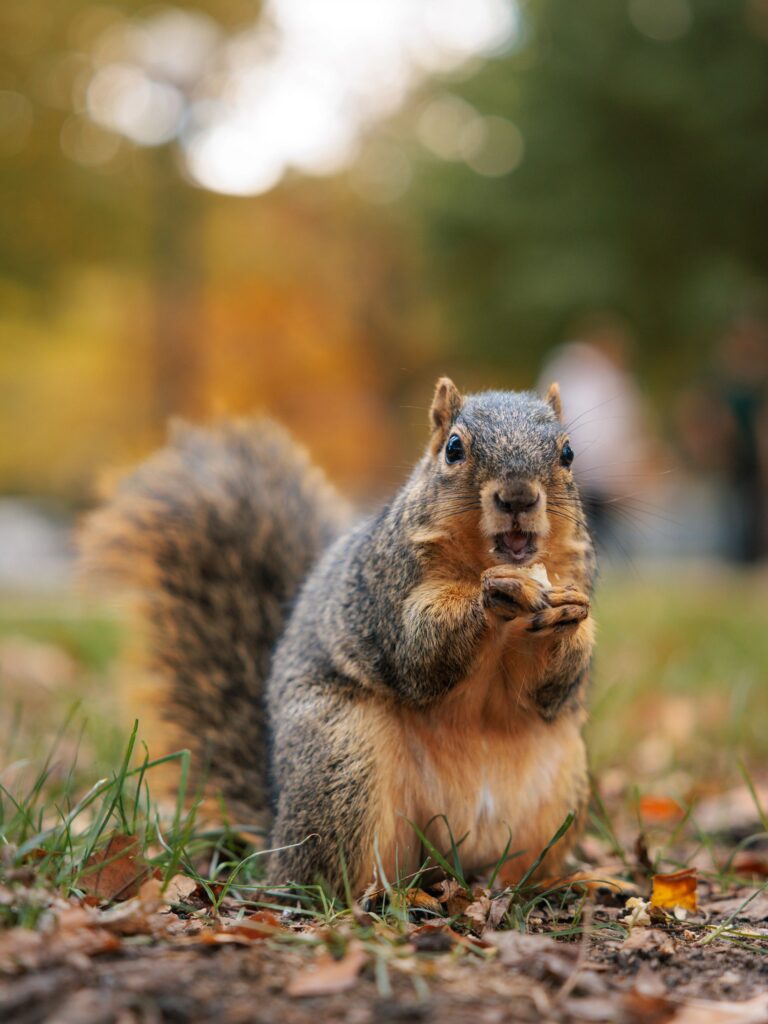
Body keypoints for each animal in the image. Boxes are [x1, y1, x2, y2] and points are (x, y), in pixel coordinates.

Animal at [82, 377, 596, 895]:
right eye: (454, 448)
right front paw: (494, 591)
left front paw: (571, 617)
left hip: (560, 794)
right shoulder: (384, 587)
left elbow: (554, 687)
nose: (518, 497)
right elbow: (418, 652)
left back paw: (564, 882)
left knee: (514, 869)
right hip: (342, 759)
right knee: (327, 876)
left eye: (568, 452)